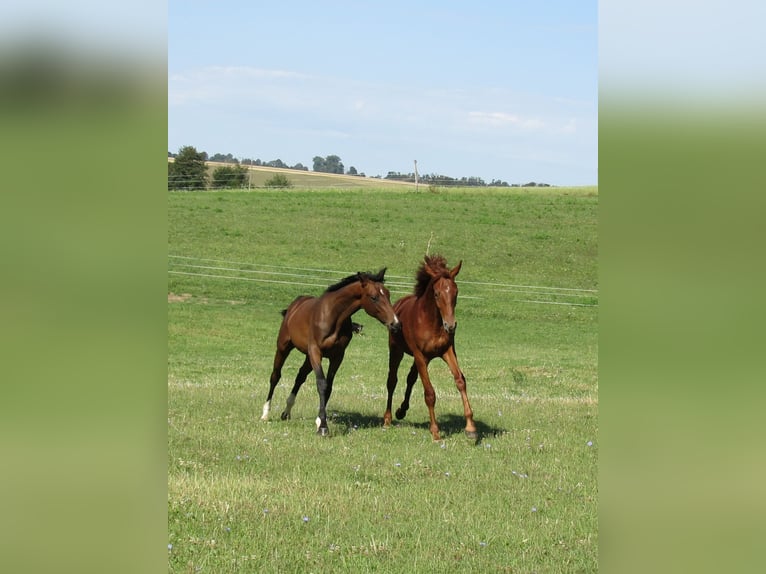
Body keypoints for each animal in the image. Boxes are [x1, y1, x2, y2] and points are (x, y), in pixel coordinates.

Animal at [261, 268, 400, 436]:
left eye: (388, 295)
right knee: (275, 375)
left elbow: (329, 386)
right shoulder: (316, 352)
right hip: (284, 347)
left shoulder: (337, 356)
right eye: (374, 297)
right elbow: (322, 383)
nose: (395, 324)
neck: (333, 317)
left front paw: (319, 420)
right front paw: (323, 427)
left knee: (300, 377)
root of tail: (295, 305)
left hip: (307, 357)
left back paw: (286, 412)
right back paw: (265, 414)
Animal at [383, 255, 478, 441]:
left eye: (456, 292)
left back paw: (401, 411)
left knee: (410, 379)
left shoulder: (447, 351)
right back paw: (388, 419)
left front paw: (471, 428)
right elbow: (429, 393)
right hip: (397, 351)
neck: (431, 322)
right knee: (392, 381)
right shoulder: (420, 356)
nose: (450, 326)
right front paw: (435, 431)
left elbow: (460, 381)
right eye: (436, 294)